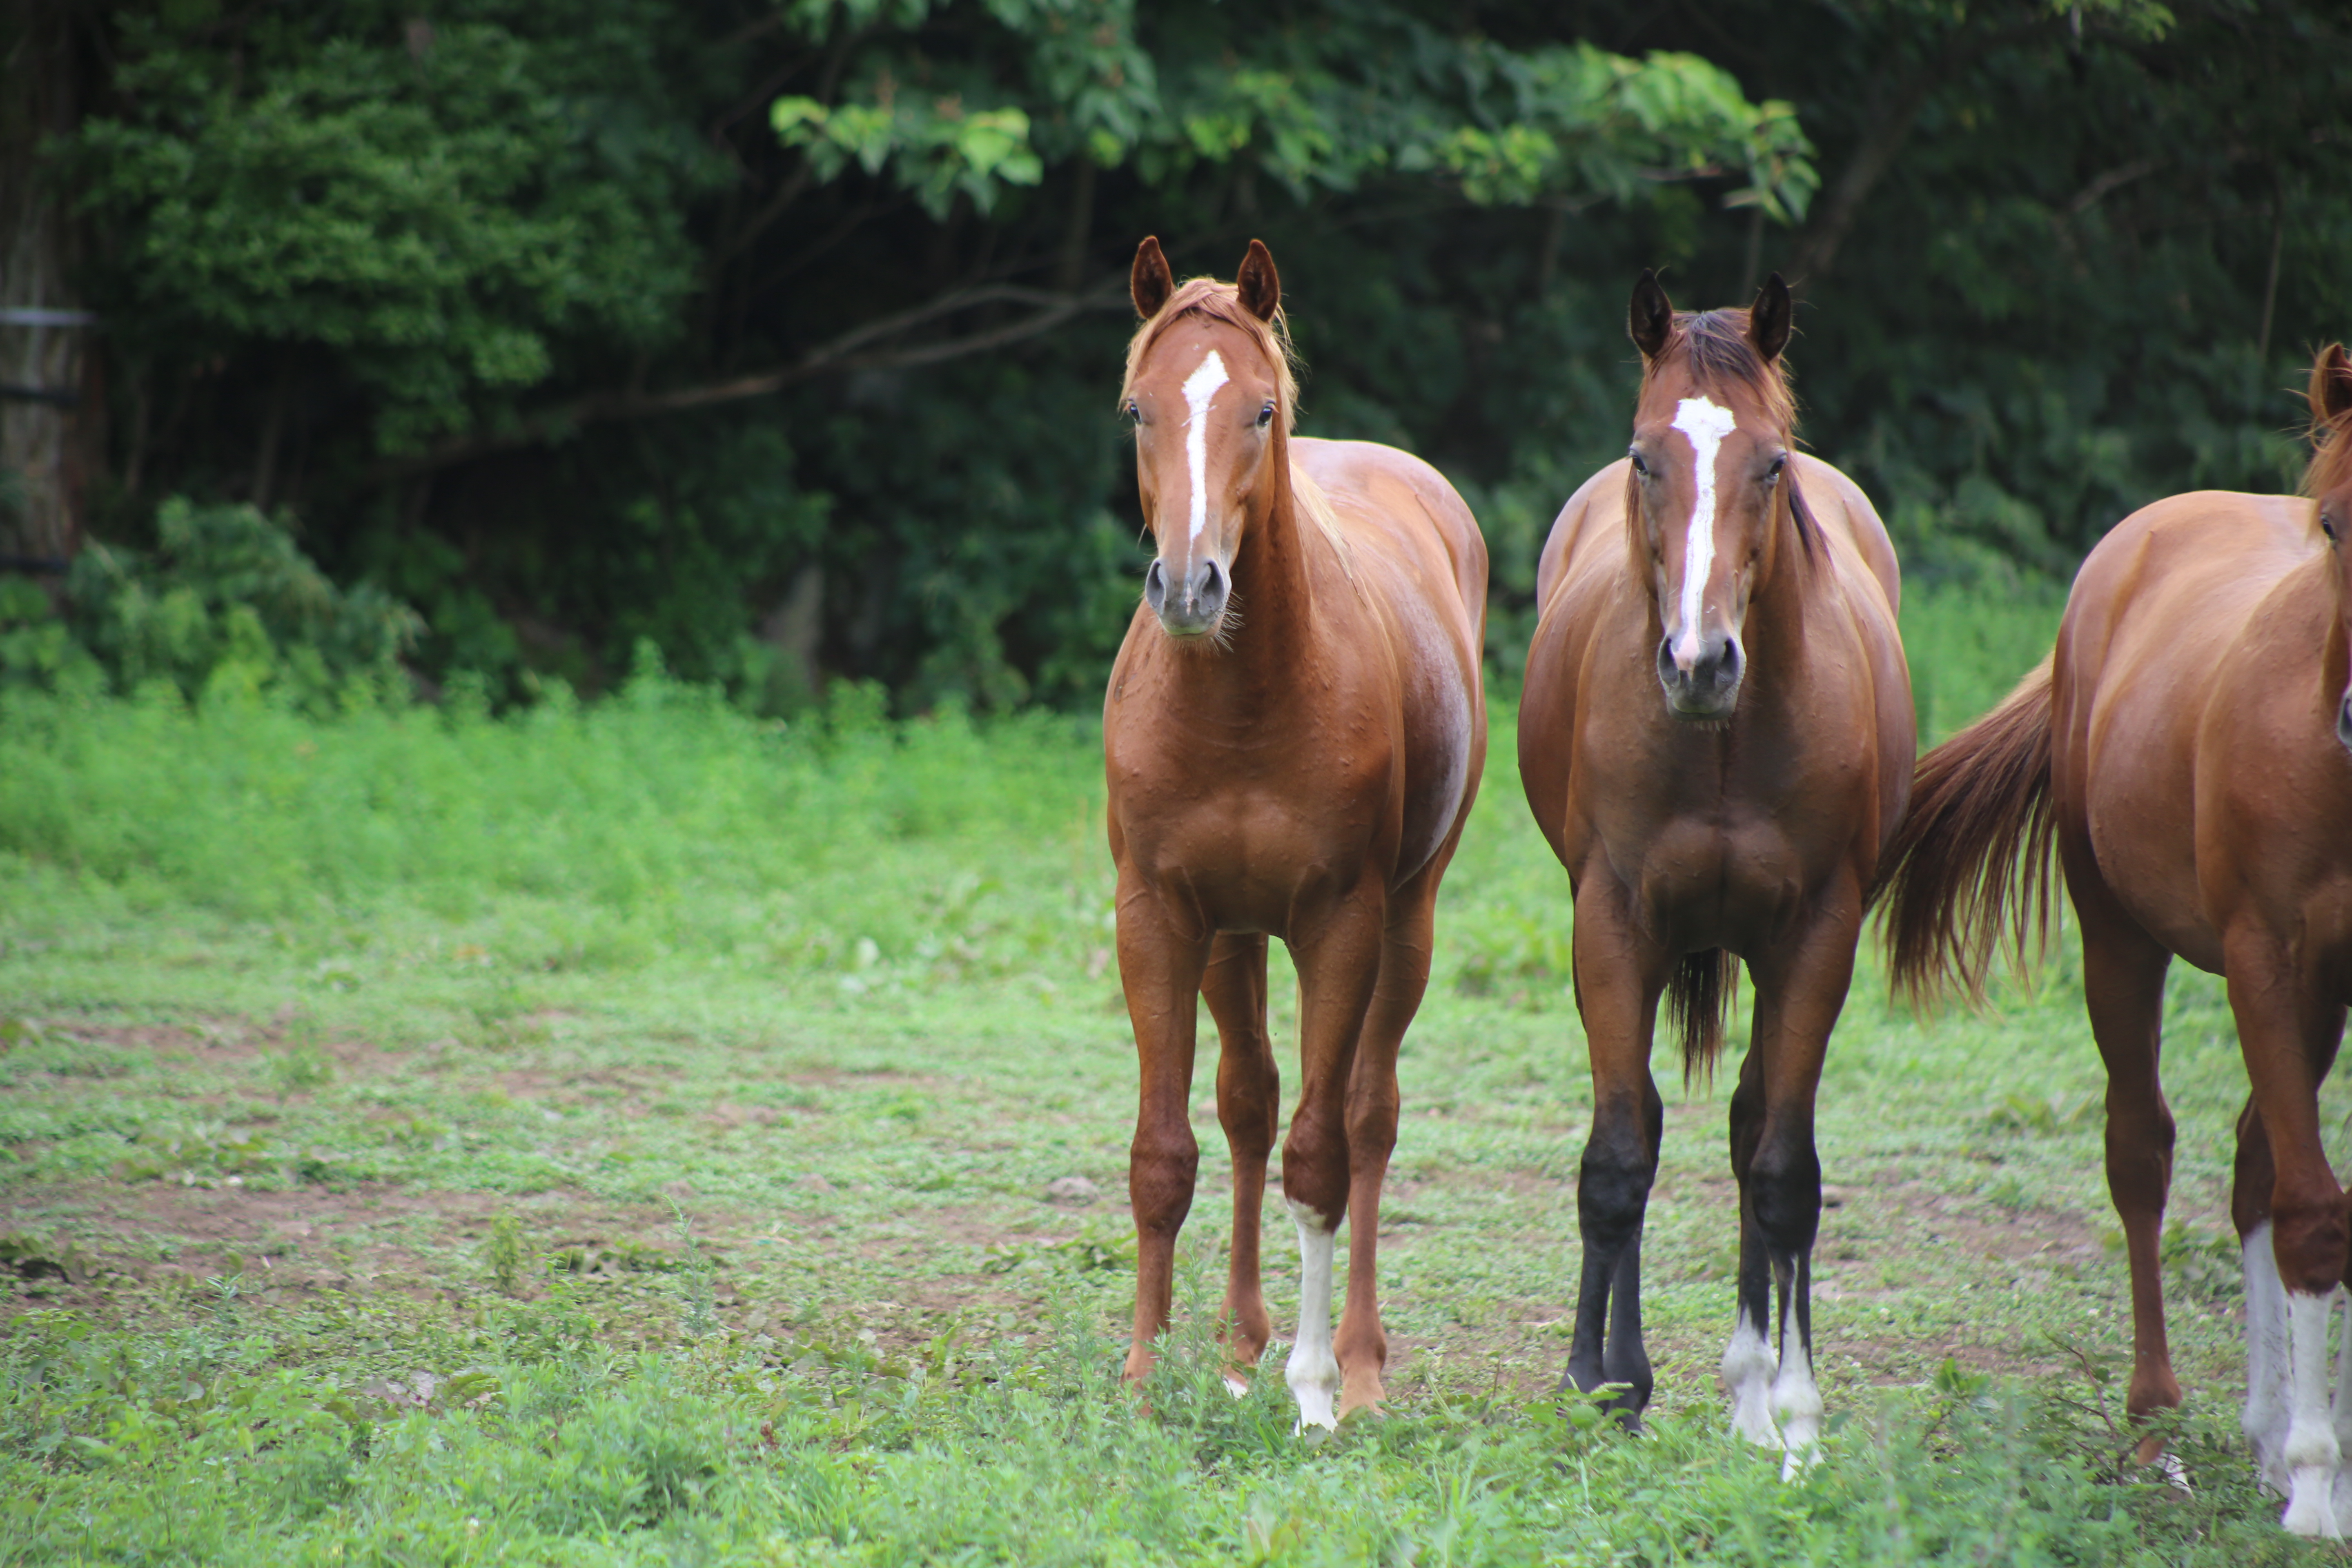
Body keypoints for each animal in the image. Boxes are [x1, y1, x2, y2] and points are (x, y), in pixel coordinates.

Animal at [1105, 240, 1486, 1429]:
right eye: (1136, 409)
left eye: (1260, 411)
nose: (1189, 584)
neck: (1244, 700)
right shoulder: (1159, 918)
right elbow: (1165, 1151)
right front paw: (1144, 1376)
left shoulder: (1339, 925)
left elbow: (1322, 1153)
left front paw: (1316, 1389)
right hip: (1232, 938)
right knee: (1248, 1105)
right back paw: (1238, 1339)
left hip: (1405, 924)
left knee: (1366, 1118)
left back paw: (1356, 1362)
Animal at [1524, 272, 1910, 1476]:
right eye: (1645, 457)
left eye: (1771, 464)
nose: (1697, 663)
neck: (1723, 741)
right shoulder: (1610, 922)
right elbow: (1618, 1154)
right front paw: (1595, 1385)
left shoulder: (1817, 935)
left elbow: (1783, 1170)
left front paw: (1794, 1412)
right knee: (1651, 1125)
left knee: (1750, 1128)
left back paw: (1748, 1389)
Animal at [1872, 341, 2352, 1532]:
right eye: (2333, 523)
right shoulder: (2266, 954)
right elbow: (2314, 1211)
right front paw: (2319, 1489)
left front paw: (2311, 1461)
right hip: (2119, 937)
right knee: (2144, 1155)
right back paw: (2158, 1430)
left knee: (2250, 1161)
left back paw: (2263, 1433)